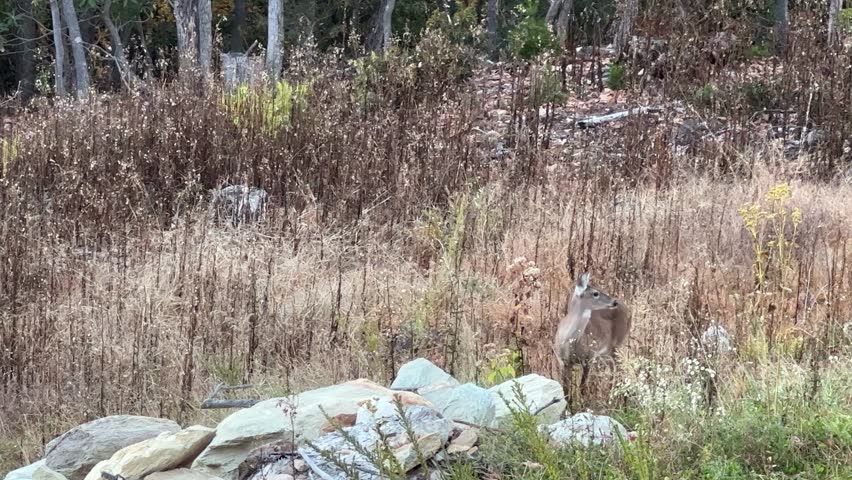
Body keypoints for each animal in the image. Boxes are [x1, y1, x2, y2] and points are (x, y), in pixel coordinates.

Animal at [554, 272, 631, 409]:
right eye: (595, 293)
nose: (614, 302)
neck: (569, 341)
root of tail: (628, 309)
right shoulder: (563, 362)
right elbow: (565, 390)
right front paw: (568, 409)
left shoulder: (588, 358)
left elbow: (582, 387)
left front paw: (581, 407)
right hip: (606, 352)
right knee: (614, 370)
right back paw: (611, 400)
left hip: (617, 344)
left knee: (621, 371)